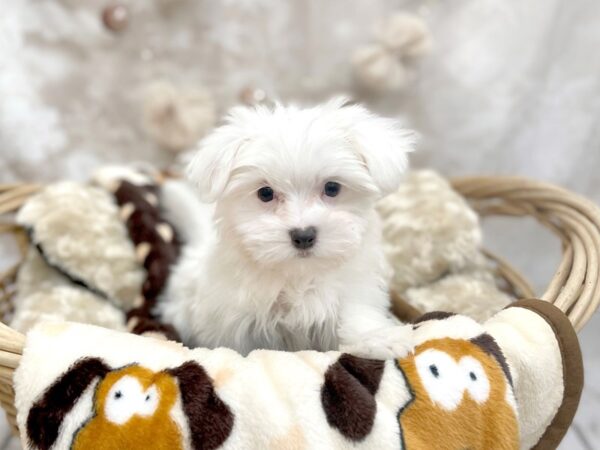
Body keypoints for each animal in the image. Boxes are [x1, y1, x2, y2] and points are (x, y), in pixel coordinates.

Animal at [157, 98, 414, 358]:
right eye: (265, 193)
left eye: (332, 188)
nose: (303, 236)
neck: (297, 275)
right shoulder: (233, 320)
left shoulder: (353, 290)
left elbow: (356, 316)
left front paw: (379, 339)